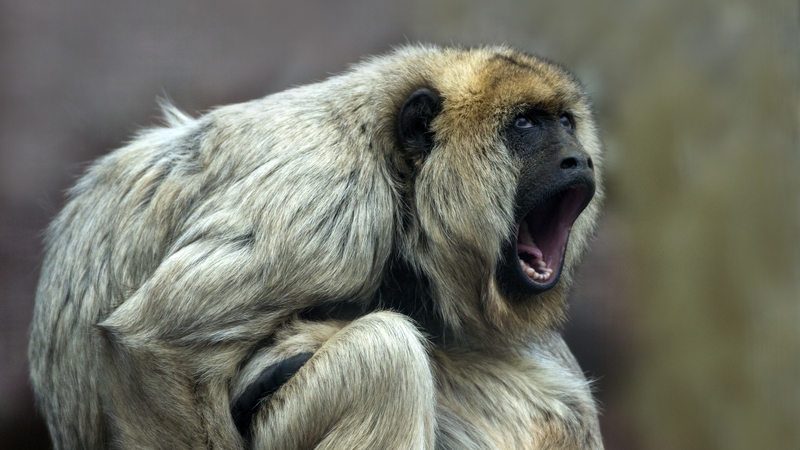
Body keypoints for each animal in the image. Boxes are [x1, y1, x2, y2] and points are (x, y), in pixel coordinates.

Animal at [29, 44, 605, 449]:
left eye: (566, 123)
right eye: (524, 124)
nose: (578, 158)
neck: (400, 173)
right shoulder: (334, 200)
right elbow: (155, 340)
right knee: (386, 356)